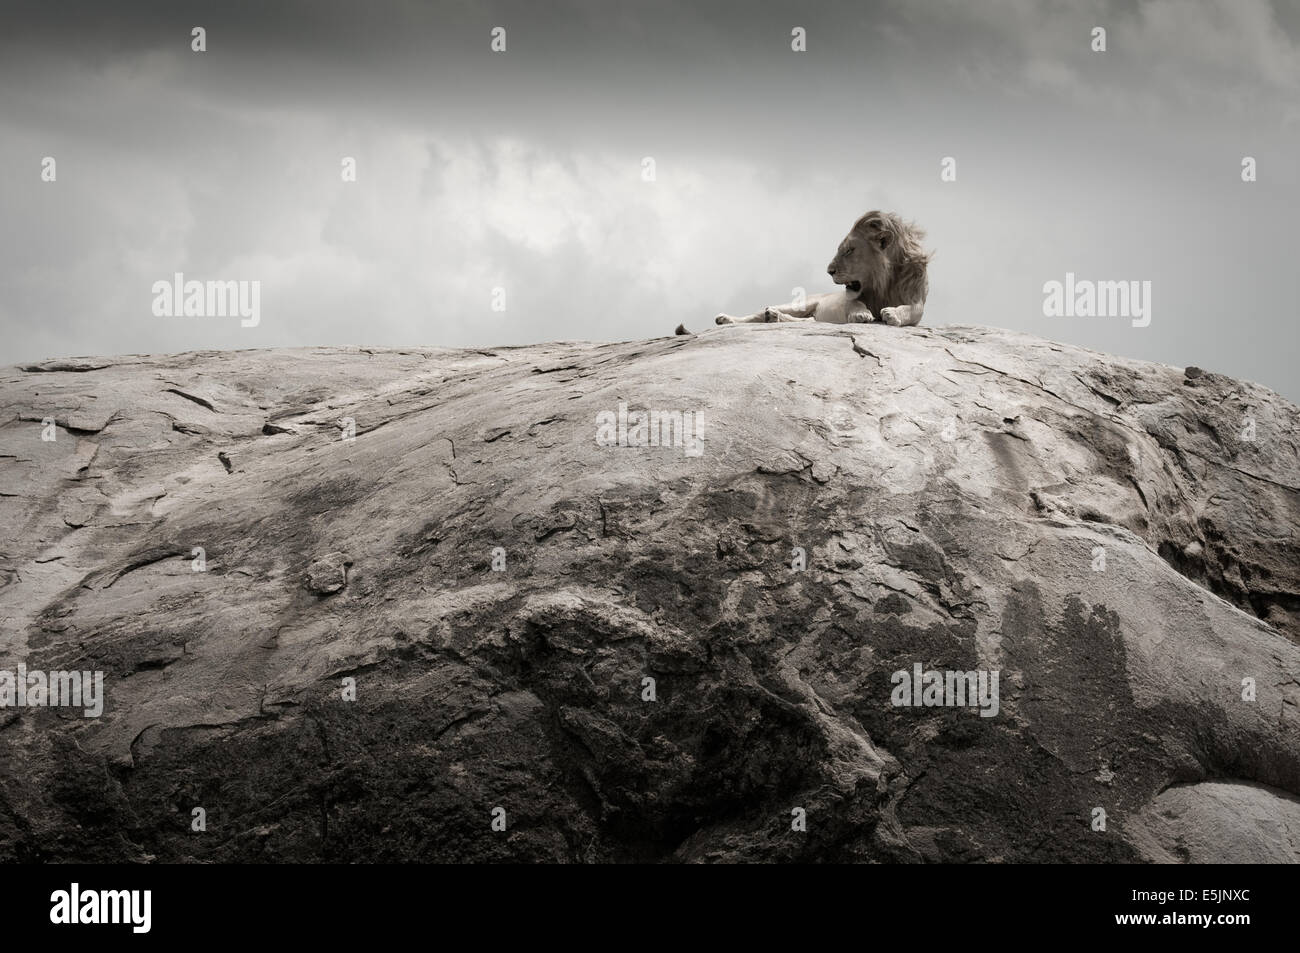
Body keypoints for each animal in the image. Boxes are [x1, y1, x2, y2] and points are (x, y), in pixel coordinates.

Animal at [681, 211, 935, 335]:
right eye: (842, 248)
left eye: (849, 250)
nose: (829, 270)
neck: (884, 279)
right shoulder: (848, 299)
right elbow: (854, 303)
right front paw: (862, 314)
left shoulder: (917, 300)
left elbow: (911, 310)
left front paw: (892, 314)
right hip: (800, 304)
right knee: (756, 314)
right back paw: (729, 318)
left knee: (807, 320)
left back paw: (773, 316)